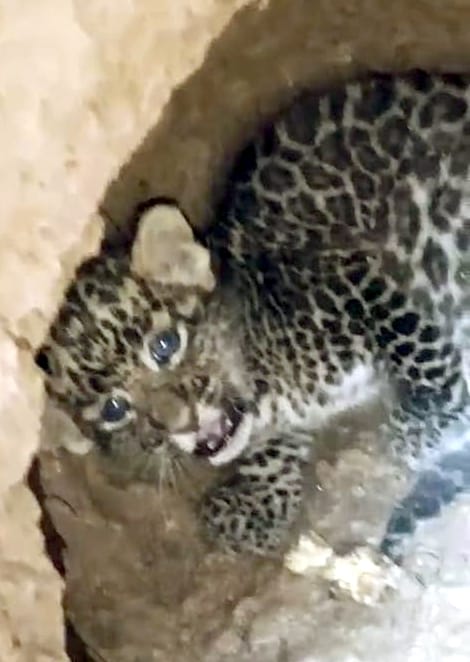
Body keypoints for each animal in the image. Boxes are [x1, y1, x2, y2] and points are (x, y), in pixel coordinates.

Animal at [37, 70, 470, 562]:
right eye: (114, 409)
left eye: (165, 346)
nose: (182, 423)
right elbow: (271, 449)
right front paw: (254, 502)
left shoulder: (349, 276)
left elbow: (413, 342)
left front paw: (424, 420)